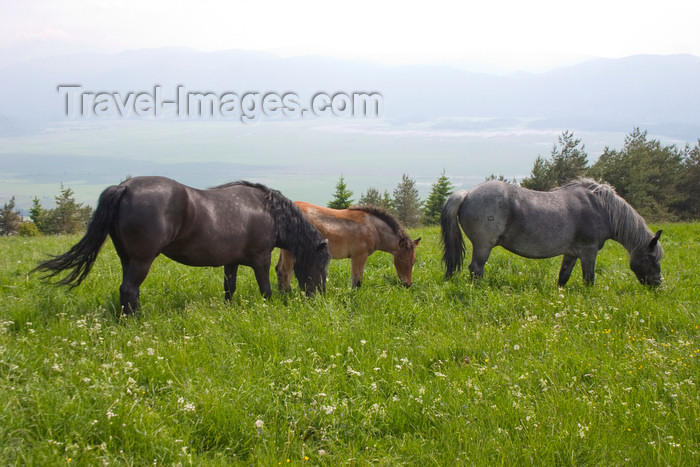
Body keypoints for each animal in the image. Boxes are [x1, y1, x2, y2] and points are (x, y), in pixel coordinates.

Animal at [36, 176, 334, 314]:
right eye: (322, 264)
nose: (318, 296)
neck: (269, 211)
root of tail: (124, 187)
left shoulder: (231, 261)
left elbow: (229, 288)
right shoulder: (260, 258)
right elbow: (266, 290)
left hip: (126, 258)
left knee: (127, 290)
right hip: (142, 259)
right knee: (130, 289)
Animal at [278, 204, 422, 290]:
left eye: (414, 260)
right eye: (402, 260)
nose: (408, 284)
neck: (373, 228)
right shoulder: (359, 256)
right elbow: (357, 281)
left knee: (279, 270)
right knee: (286, 272)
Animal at [440, 179, 664, 288]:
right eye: (652, 258)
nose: (658, 285)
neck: (600, 208)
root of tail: (467, 193)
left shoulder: (572, 253)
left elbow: (563, 277)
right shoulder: (589, 251)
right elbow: (589, 279)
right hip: (483, 246)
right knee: (476, 269)